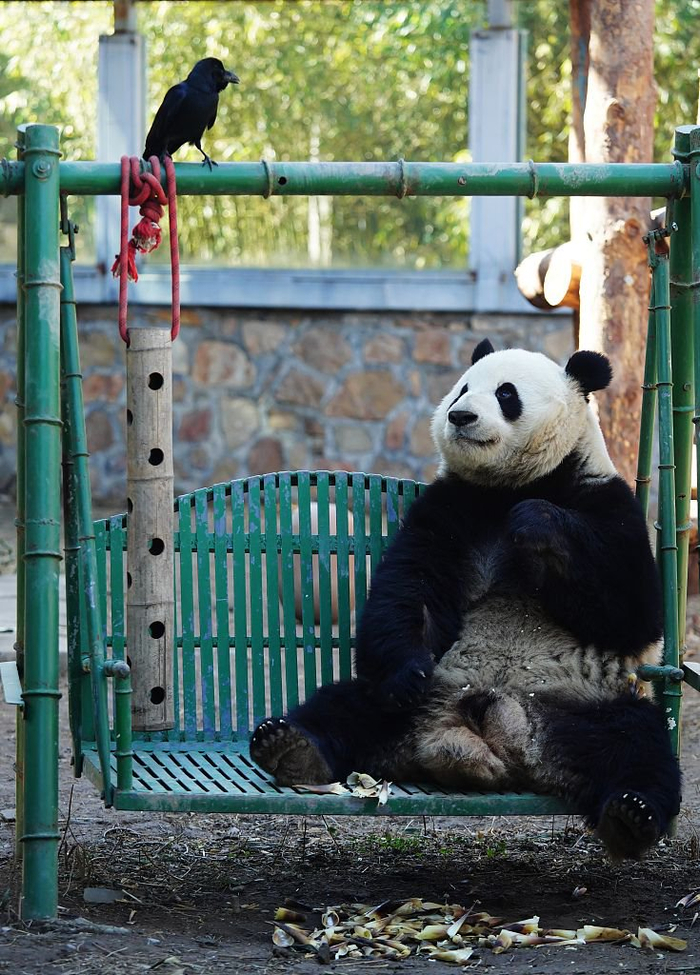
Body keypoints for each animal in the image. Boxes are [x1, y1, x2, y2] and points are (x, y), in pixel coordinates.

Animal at [250, 340, 681, 860]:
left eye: (506, 393)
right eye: (462, 388)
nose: (460, 416)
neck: (512, 486)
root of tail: (487, 736)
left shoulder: (609, 503)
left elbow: (632, 612)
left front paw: (536, 523)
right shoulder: (448, 509)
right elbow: (409, 588)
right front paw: (407, 670)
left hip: (586, 703)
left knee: (637, 746)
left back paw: (631, 815)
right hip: (429, 693)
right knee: (348, 706)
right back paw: (290, 746)